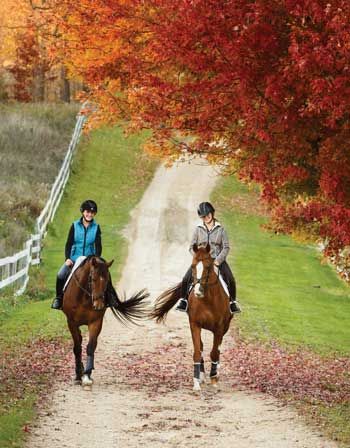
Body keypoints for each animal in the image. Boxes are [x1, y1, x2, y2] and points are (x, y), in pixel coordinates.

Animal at [63, 256, 149, 384]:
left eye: (107, 280)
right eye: (93, 279)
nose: (99, 305)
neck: (84, 297)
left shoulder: (96, 322)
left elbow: (90, 347)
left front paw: (87, 375)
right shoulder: (71, 322)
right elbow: (77, 348)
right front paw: (78, 374)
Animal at [150, 243, 232, 390]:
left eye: (208, 267)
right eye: (193, 266)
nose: (198, 291)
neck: (207, 300)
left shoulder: (219, 328)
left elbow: (214, 352)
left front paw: (214, 378)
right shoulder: (195, 324)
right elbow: (197, 352)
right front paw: (196, 382)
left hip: (225, 327)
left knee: (218, 349)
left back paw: (215, 373)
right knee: (202, 347)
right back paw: (202, 376)